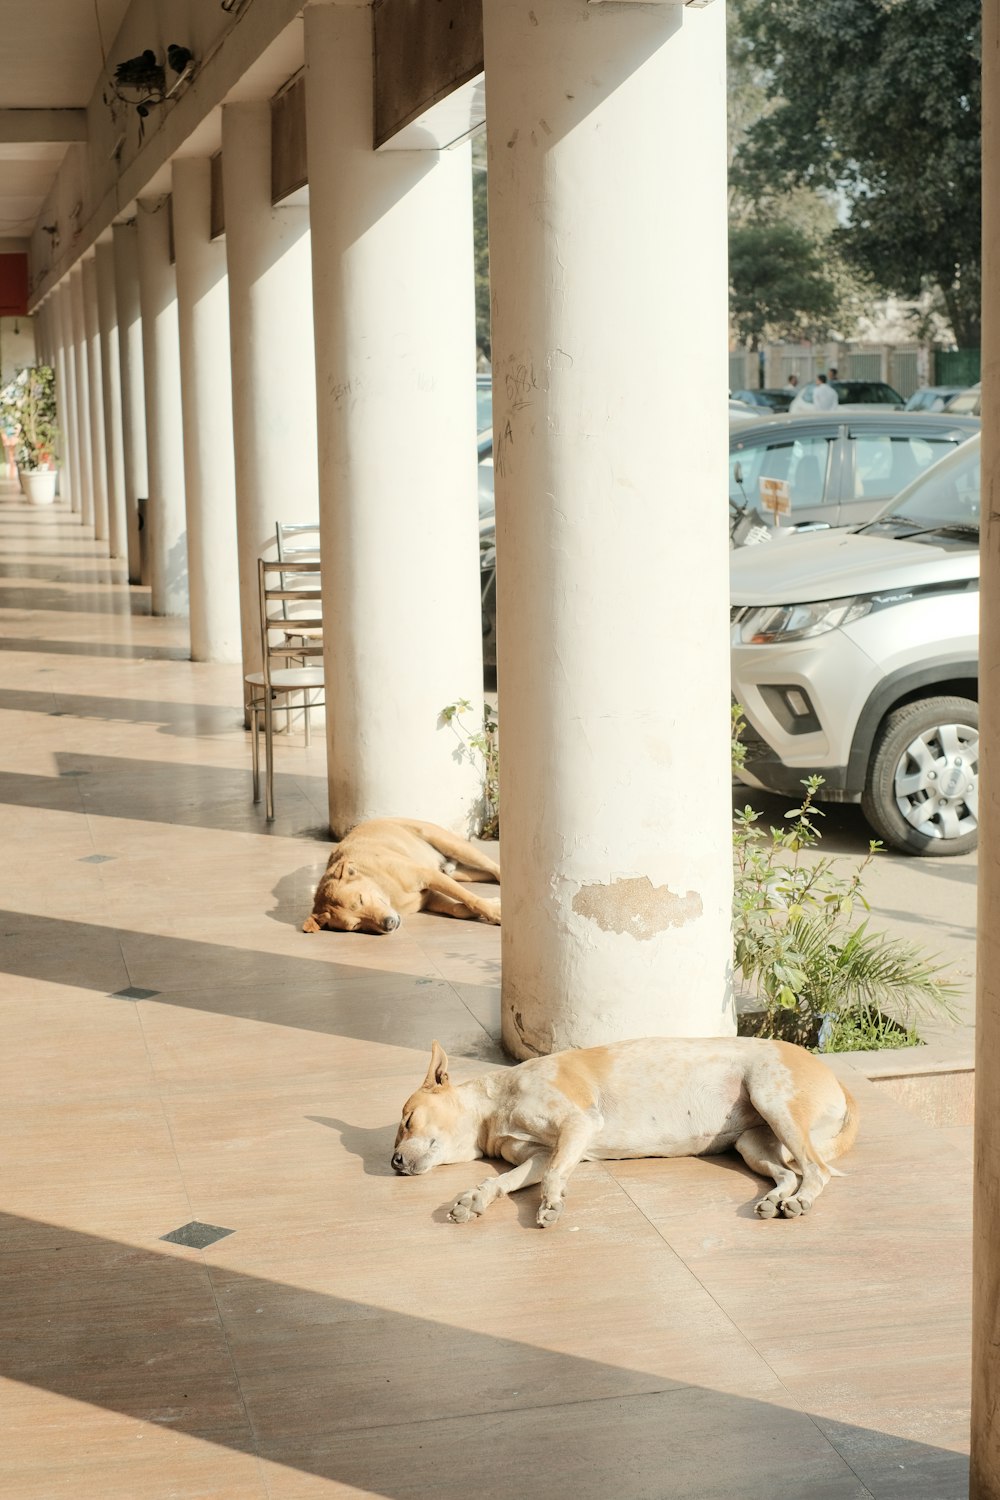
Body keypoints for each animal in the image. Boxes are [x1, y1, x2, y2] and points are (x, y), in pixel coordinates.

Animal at [299, 816, 497, 930]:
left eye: (361, 900)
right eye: (356, 925)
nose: (389, 925)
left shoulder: (430, 877)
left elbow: (471, 898)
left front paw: (495, 912)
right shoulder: (430, 896)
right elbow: (457, 908)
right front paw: (485, 908)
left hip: (453, 846)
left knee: (495, 868)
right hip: (456, 872)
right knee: (485, 873)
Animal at [389, 1038, 863, 1224]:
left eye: (407, 1120)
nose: (393, 1162)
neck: (495, 1109)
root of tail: (839, 1082)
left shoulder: (577, 1126)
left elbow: (557, 1173)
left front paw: (552, 1202)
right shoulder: (536, 1157)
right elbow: (504, 1180)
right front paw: (476, 1198)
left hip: (773, 1101)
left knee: (816, 1172)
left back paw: (800, 1202)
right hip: (752, 1143)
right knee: (789, 1173)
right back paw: (773, 1200)